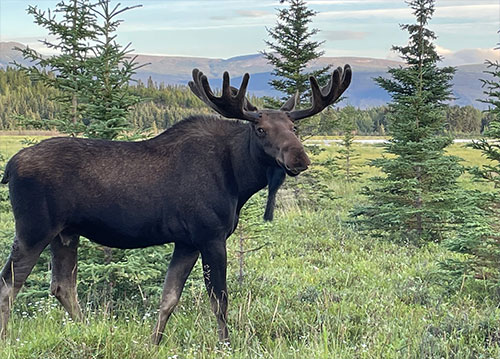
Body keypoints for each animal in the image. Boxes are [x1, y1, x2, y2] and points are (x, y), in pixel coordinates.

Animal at [0, 64, 352, 344]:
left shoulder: (186, 241)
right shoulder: (210, 235)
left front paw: (153, 343)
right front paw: (227, 344)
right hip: (34, 229)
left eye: (294, 127)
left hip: (65, 233)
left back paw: (88, 331)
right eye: (261, 129)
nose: (299, 158)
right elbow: (219, 300)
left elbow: (169, 298)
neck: (239, 180)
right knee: (9, 284)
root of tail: (9, 168)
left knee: (62, 286)